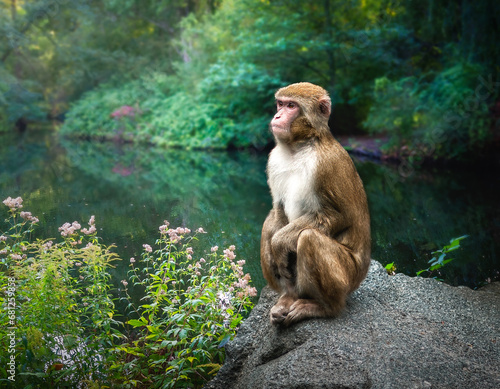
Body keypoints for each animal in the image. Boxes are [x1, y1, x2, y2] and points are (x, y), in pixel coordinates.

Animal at [260, 82, 370, 324]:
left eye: (291, 106)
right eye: (280, 104)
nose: (277, 115)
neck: (299, 147)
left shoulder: (327, 165)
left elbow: (339, 215)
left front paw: (279, 243)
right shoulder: (274, 160)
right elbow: (278, 210)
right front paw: (275, 249)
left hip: (348, 276)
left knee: (309, 238)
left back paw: (326, 307)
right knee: (270, 222)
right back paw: (289, 296)